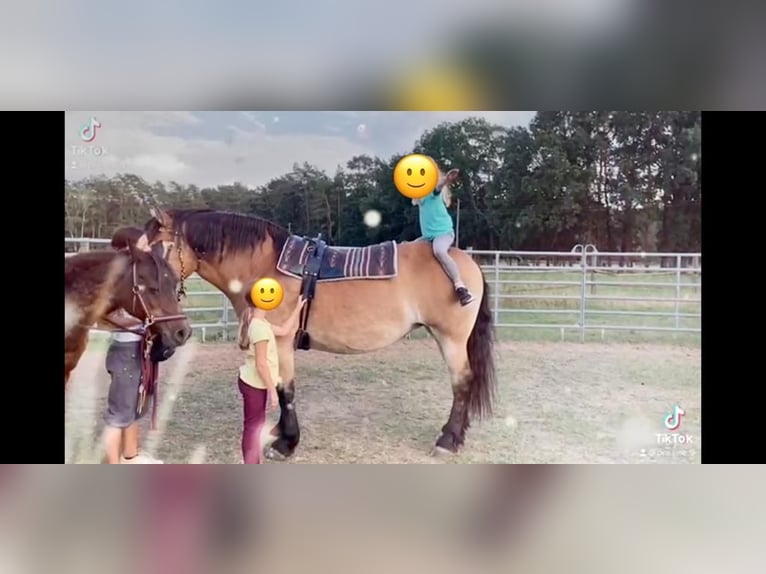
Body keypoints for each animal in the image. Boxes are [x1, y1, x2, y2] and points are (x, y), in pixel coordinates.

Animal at [138, 182, 498, 462]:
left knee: (462, 382)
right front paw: (277, 433)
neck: (265, 266)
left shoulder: (281, 341)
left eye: (153, 252)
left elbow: (285, 389)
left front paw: (286, 443)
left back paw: (447, 440)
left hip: (451, 338)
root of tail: (465, 261)